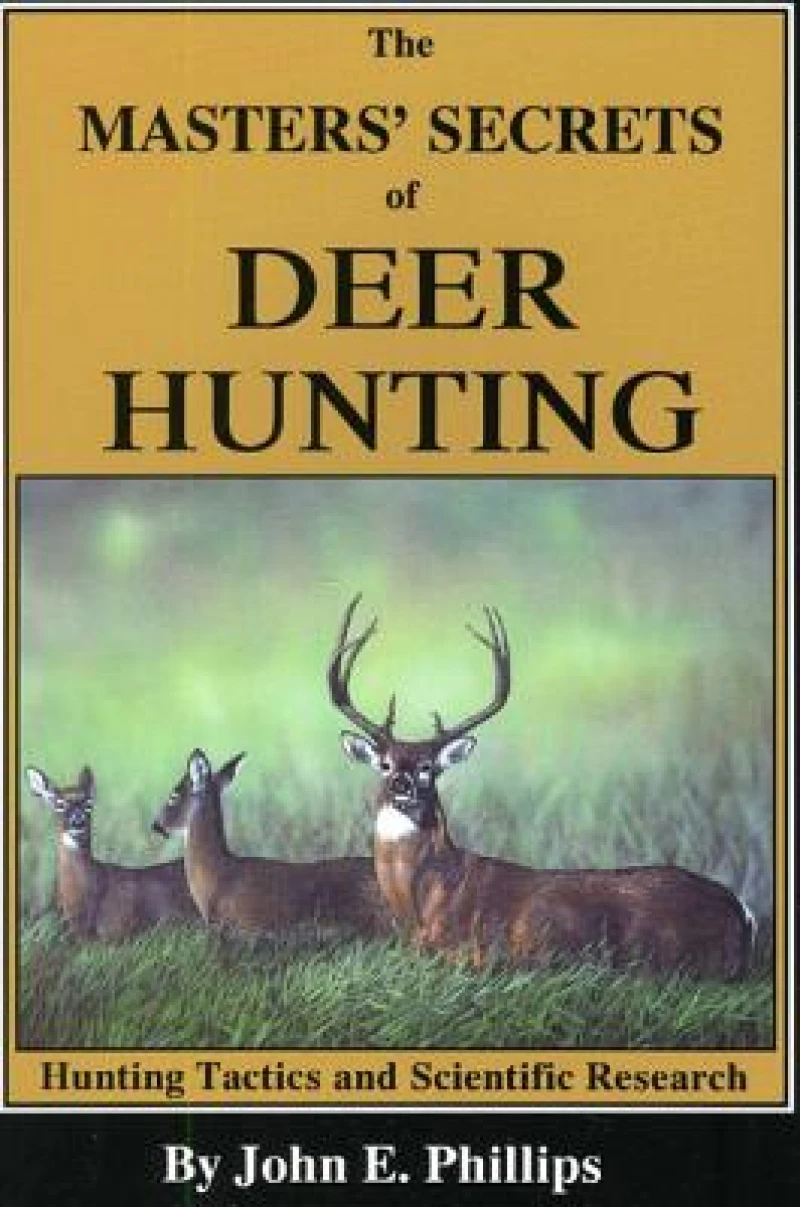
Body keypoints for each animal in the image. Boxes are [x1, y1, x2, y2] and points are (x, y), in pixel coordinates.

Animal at [329, 595, 757, 979]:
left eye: (428, 768)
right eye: (385, 764)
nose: (401, 785)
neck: (423, 901)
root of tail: (740, 911)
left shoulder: (465, 948)